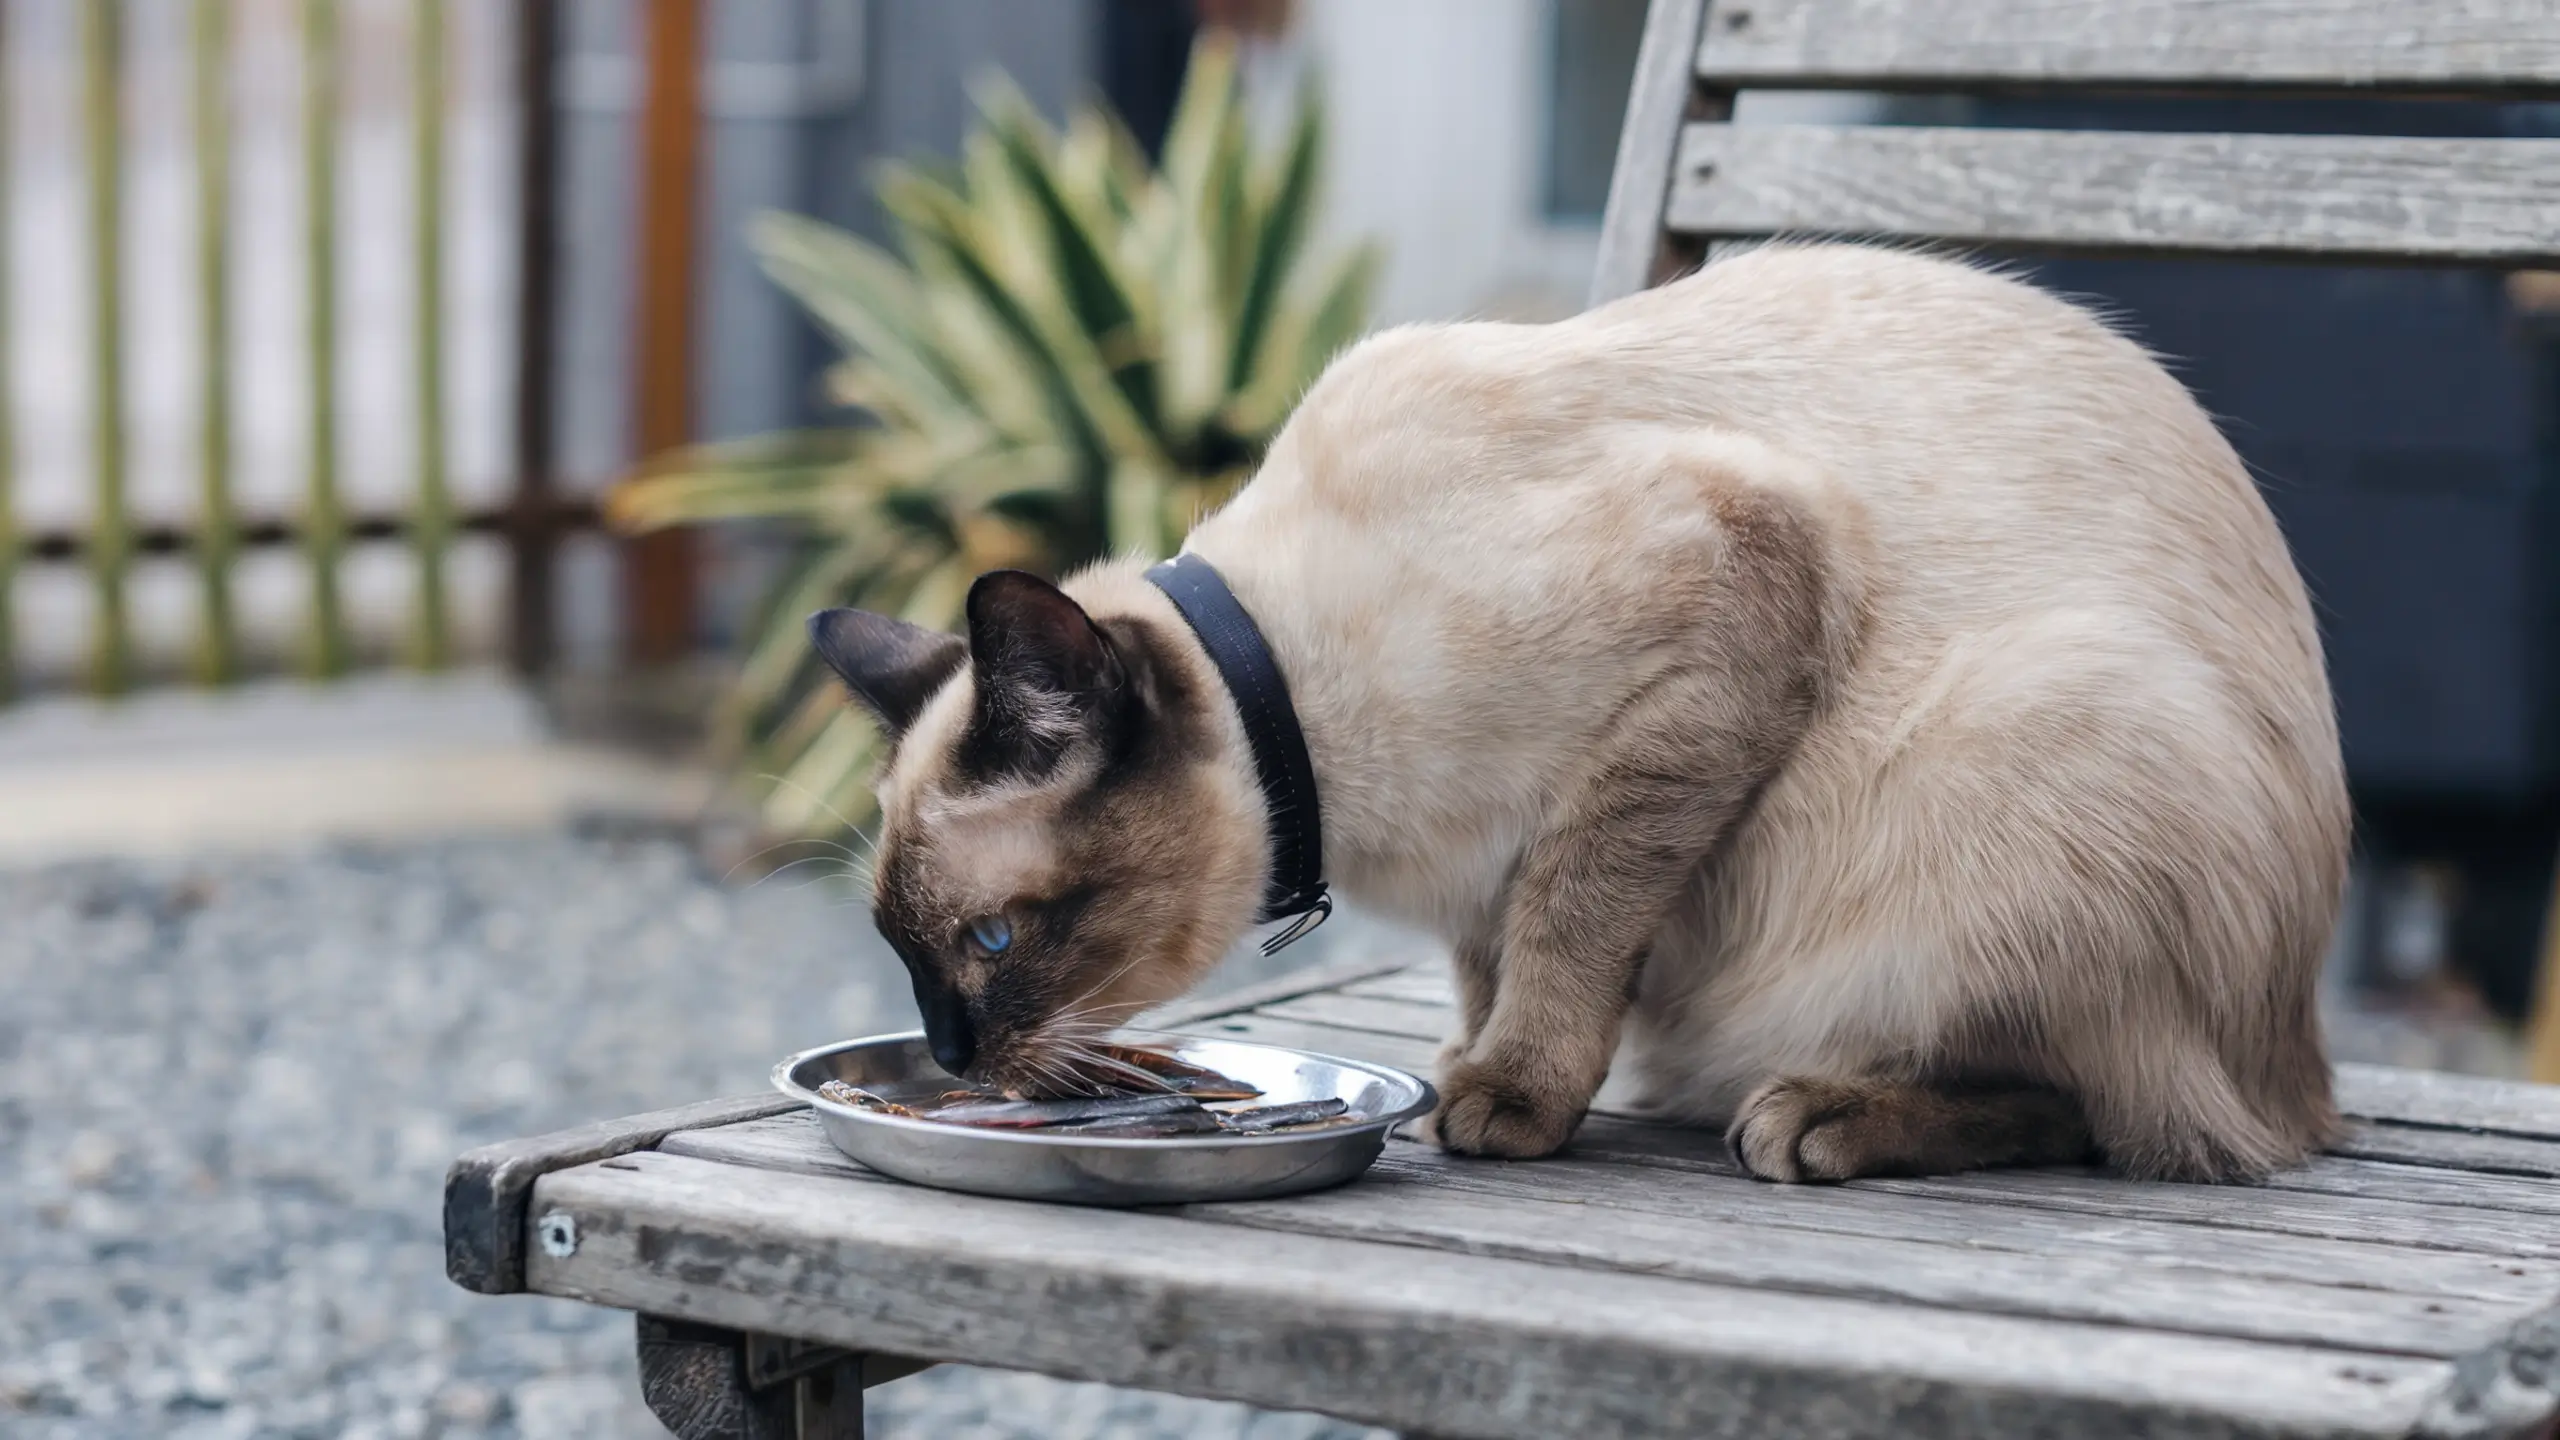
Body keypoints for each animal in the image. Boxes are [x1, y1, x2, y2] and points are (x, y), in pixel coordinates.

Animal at [808, 238, 2344, 1178]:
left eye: (992, 943)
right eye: (902, 955)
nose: (950, 1054)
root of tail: (2307, 1069)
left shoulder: (1717, 617)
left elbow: (1573, 919)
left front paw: (1509, 1101)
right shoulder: (1485, 865)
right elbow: (1493, 960)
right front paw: (1461, 1067)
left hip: (2044, 723)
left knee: (2116, 1113)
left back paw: (1818, 1116)